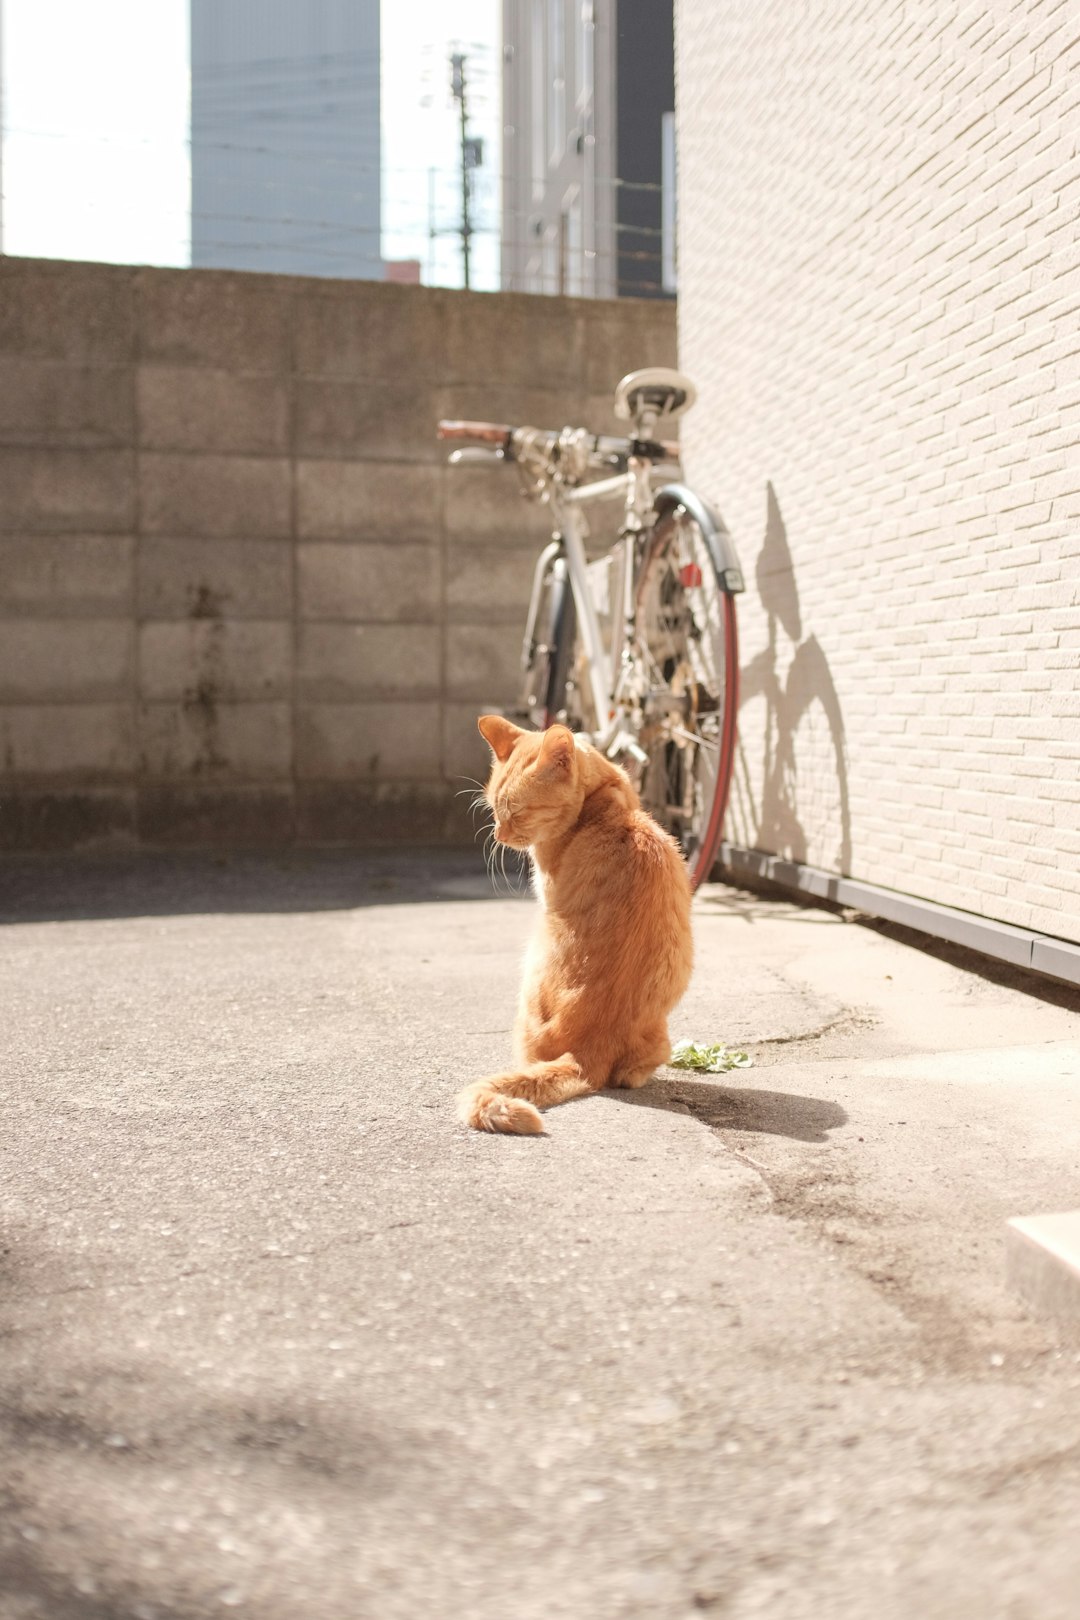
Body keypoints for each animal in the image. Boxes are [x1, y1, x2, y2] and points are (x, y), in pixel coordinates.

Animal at [456, 716, 693, 1134]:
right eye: (494, 810)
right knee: (632, 1073)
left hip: (531, 960)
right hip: (663, 1031)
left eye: (517, 811)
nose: (499, 834)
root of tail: (589, 1049)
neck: (602, 801)